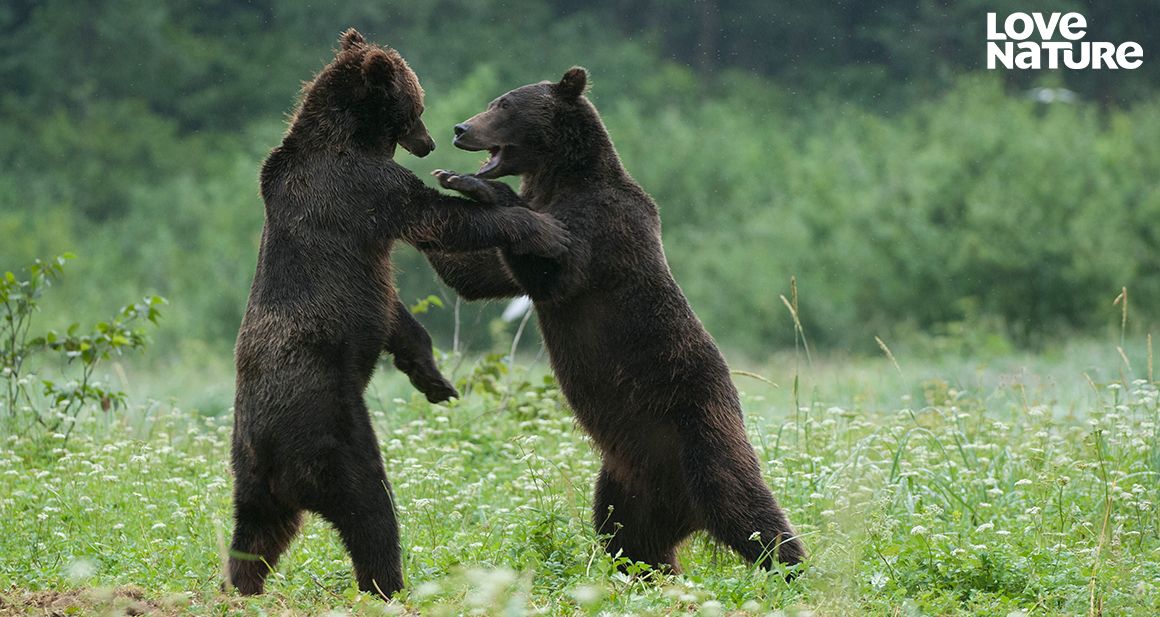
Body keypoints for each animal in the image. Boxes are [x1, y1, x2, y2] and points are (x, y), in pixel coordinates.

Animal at [227, 30, 570, 603]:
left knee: (254, 532)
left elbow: (397, 317)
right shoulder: (362, 190)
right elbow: (439, 216)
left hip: (250, 475)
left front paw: (435, 380)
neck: (349, 139)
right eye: (417, 106)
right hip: (329, 428)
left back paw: (242, 585)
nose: (431, 142)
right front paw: (541, 227)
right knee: (369, 507)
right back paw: (390, 584)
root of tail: (267, 452)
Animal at [426, 69, 807, 575]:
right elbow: (481, 273)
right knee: (626, 537)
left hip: (701, 433)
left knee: (744, 508)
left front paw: (477, 187)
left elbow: (555, 268)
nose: (460, 128)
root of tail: (683, 510)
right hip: (625, 480)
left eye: (504, 104)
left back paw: (792, 568)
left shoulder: (603, 229)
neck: (558, 179)